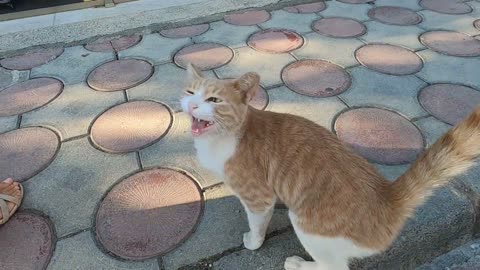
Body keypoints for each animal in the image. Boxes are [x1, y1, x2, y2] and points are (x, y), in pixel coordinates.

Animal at [180, 63, 480, 270]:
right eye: (189, 92)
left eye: (214, 100)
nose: (192, 105)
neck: (225, 136)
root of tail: (388, 197)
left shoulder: (258, 198)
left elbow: (257, 225)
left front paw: (253, 243)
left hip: (307, 224)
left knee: (333, 267)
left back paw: (300, 264)